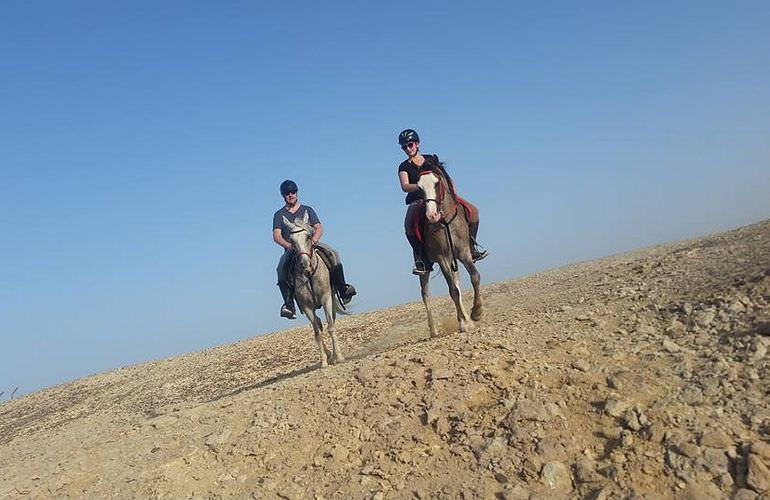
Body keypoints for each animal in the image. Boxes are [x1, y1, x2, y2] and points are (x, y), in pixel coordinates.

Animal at [280, 211, 344, 368]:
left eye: (308, 236)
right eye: (291, 240)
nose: (305, 264)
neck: (309, 275)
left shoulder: (326, 298)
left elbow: (331, 327)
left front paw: (338, 357)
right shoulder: (307, 307)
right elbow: (317, 333)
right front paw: (324, 362)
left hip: (331, 300)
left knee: (331, 321)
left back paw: (334, 355)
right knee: (319, 324)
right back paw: (329, 355)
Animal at [414, 164, 480, 336]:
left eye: (437, 183)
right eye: (419, 187)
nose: (432, 215)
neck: (444, 221)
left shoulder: (464, 252)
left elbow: (475, 277)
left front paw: (476, 313)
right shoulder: (442, 258)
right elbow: (453, 291)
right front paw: (465, 321)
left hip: (453, 261)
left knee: (457, 284)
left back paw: (466, 320)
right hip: (425, 268)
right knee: (425, 294)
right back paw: (434, 330)